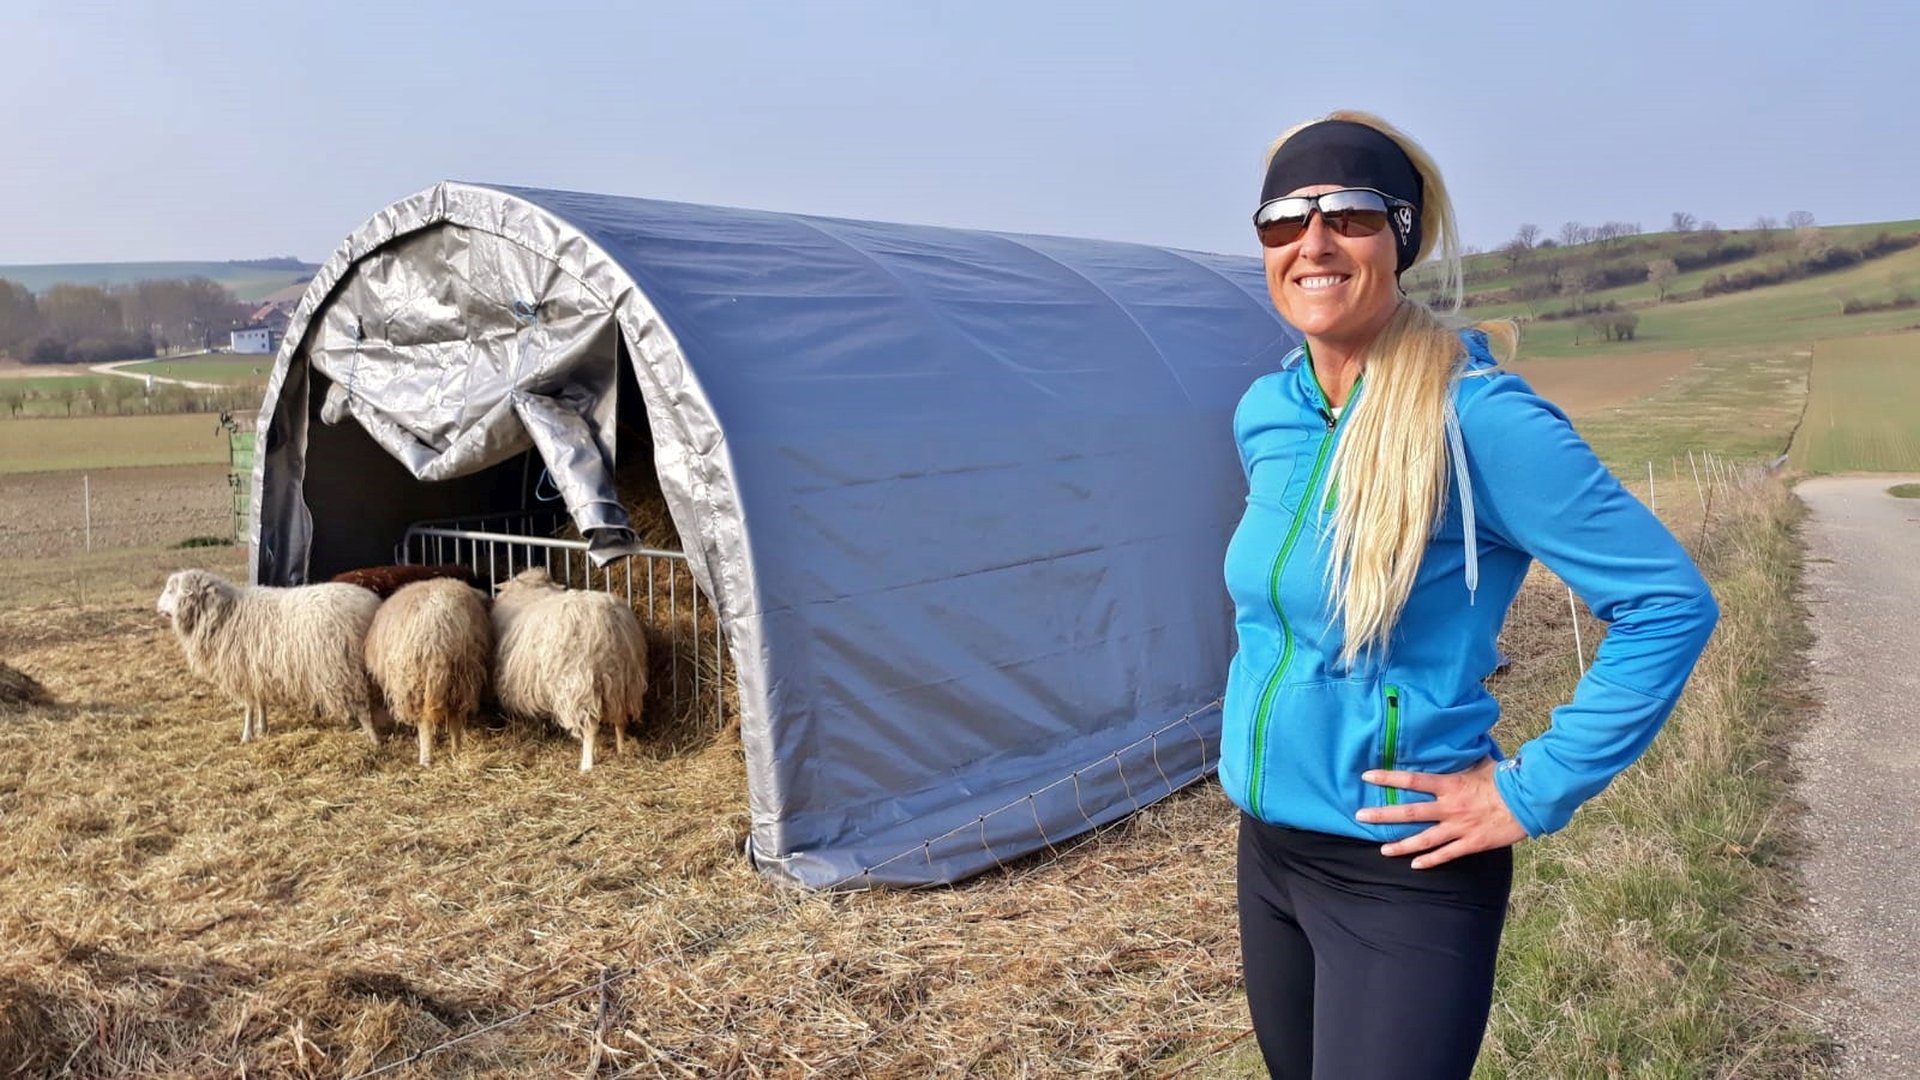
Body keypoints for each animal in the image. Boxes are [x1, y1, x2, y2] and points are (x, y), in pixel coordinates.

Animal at [159, 572, 384, 737]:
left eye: (171, 591)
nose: (157, 607)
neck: (224, 613)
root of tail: (370, 608)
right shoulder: (256, 669)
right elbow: (260, 701)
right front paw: (263, 728)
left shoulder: (243, 669)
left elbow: (249, 705)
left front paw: (247, 734)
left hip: (342, 665)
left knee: (362, 704)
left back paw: (373, 738)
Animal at [360, 576, 495, 760]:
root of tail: (439, 631)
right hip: (462, 674)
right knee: (454, 716)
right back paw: (456, 750)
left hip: (415, 680)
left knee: (424, 721)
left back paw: (425, 757)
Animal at [491, 564, 648, 764]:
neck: (533, 589)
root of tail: (610, 623)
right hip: (624, 682)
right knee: (620, 719)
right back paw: (621, 750)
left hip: (582, 684)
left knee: (591, 727)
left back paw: (587, 764)